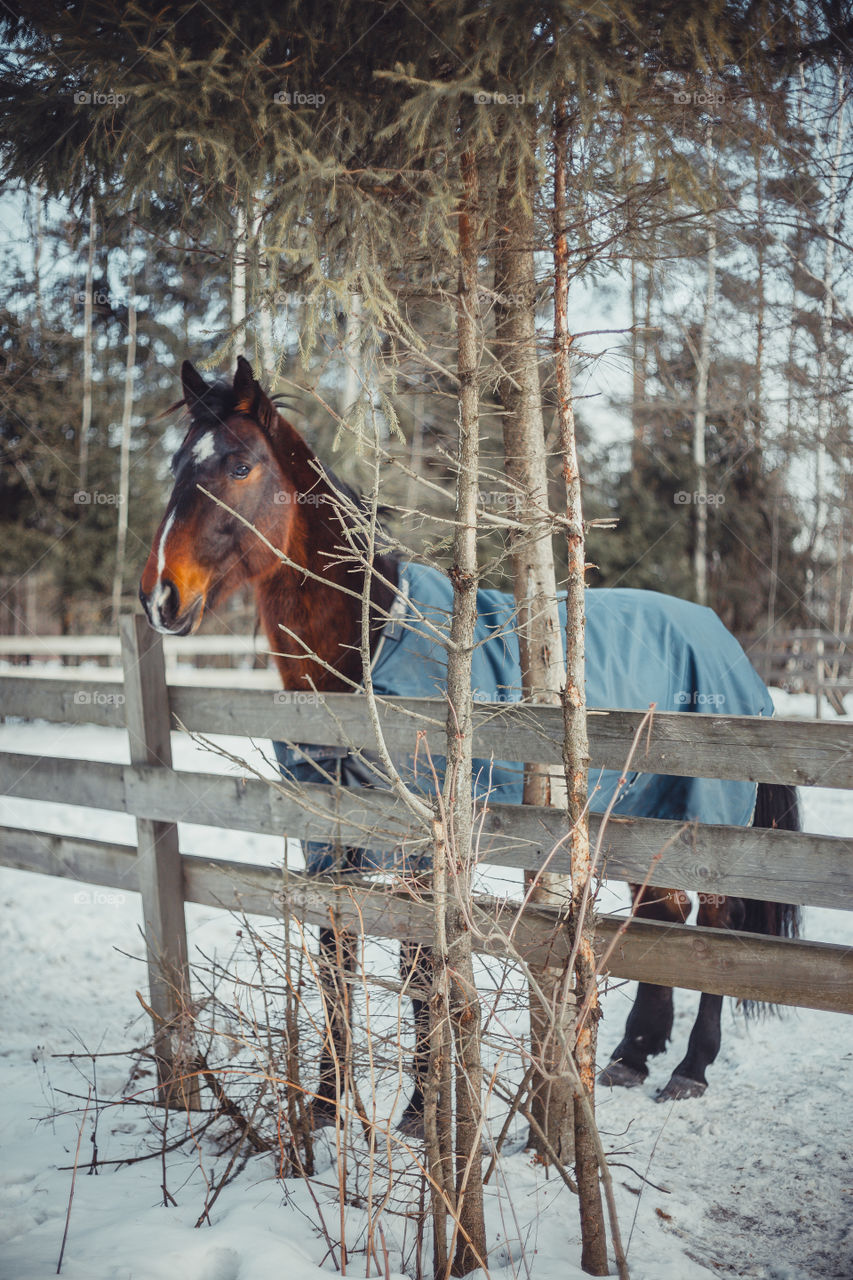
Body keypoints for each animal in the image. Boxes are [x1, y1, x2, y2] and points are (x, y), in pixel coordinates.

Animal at [139, 355, 799, 1126]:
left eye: (240, 465)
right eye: (177, 465)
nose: (160, 596)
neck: (372, 647)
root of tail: (723, 639)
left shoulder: (424, 850)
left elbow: (421, 971)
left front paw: (421, 1116)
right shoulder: (328, 842)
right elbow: (336, 961)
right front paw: (327, 1110)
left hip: (703, 820)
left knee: (716, 925)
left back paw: (689, 1068)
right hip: (637, 815)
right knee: (661, 916)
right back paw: (631, 1057)